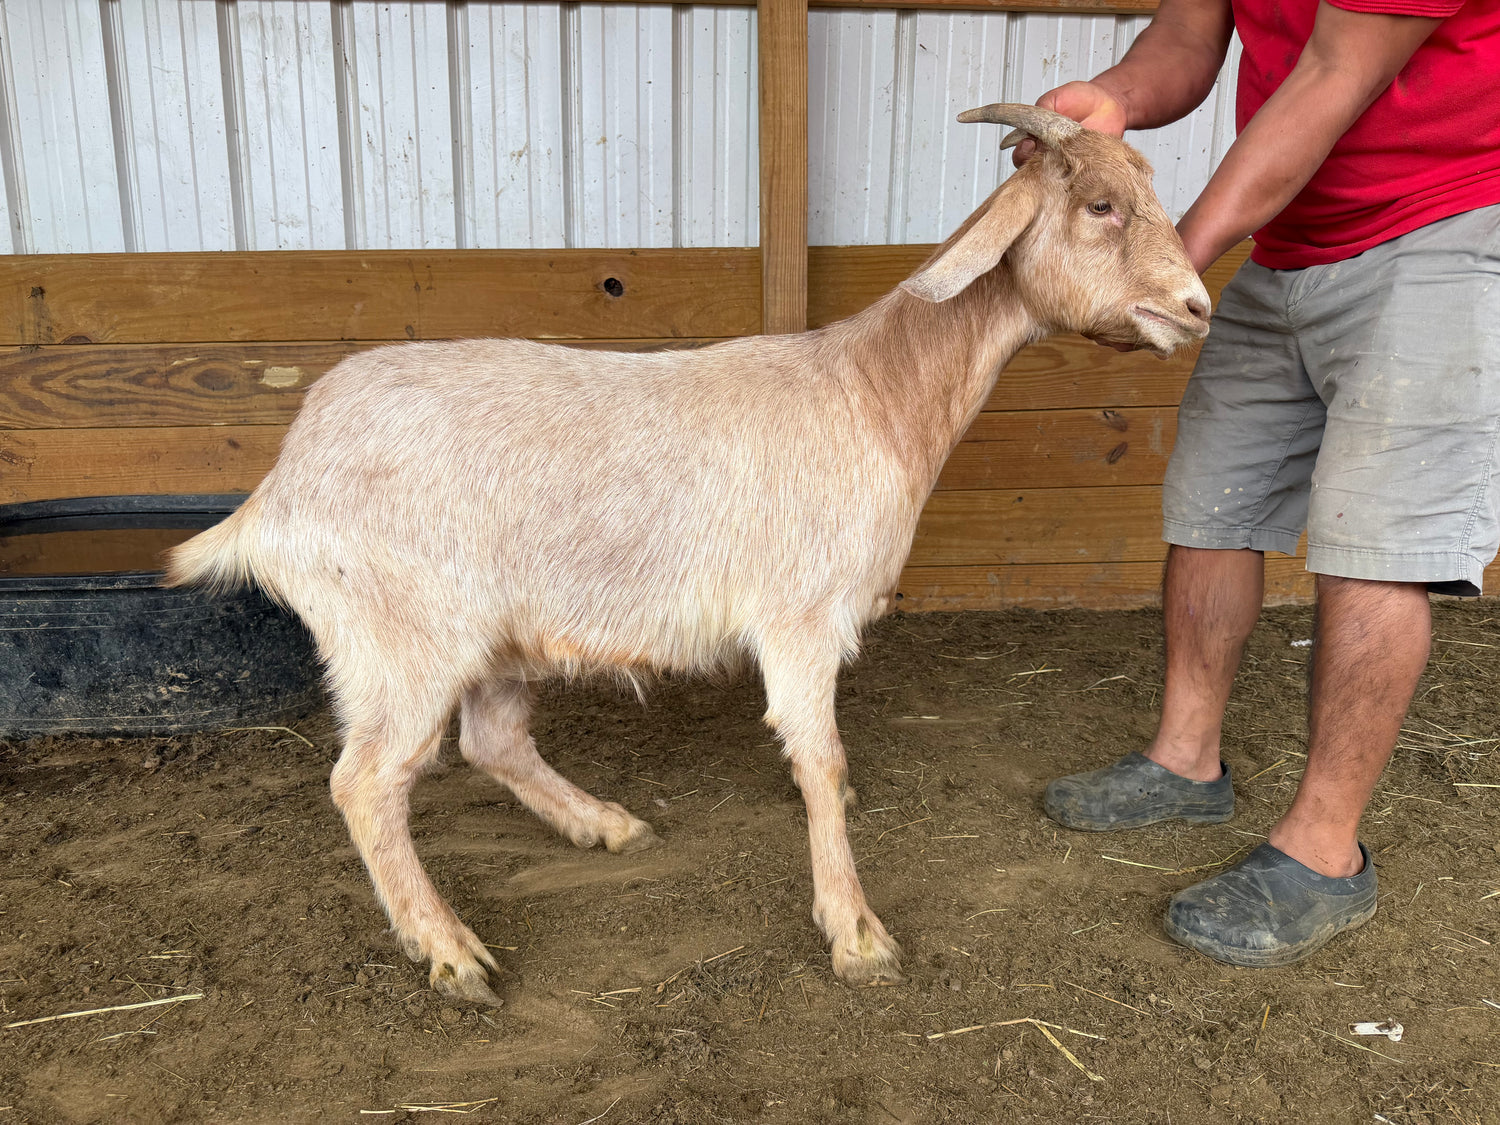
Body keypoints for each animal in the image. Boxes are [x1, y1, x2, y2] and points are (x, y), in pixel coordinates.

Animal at [166, 104, 1211, 1006]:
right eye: (1099, 205)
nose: (1197, 307)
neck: (876, 392)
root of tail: (281, 487)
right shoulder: (800, 616)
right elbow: (819, 758)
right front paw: (856, 931)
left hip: (493, 634)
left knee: (490, 740)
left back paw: (602, 824)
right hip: (400, 635)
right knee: (368, 780)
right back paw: (451, 949)